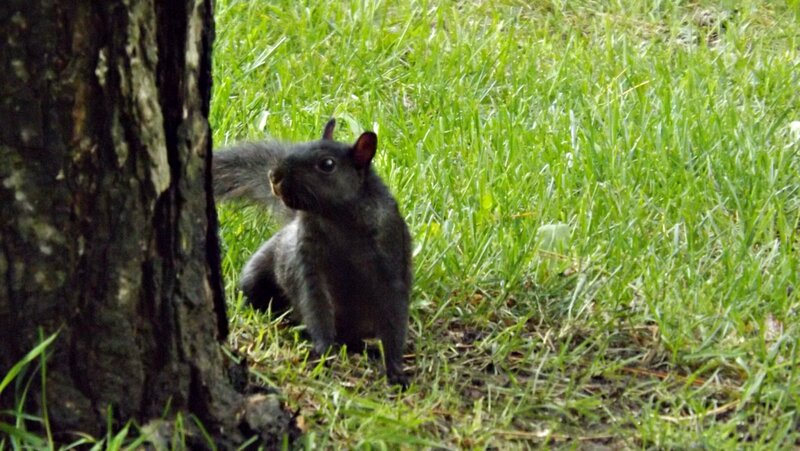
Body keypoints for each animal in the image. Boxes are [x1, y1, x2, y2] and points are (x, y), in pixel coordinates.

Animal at [213, 119, 412, 387]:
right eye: (301, 145)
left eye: (327, 164)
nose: (274, 176)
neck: (336, 220)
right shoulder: (308, 263)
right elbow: (316, 305)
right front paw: (323, 351)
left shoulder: (390, 260)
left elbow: (395, 316)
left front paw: (395, 369)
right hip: (257, 274)